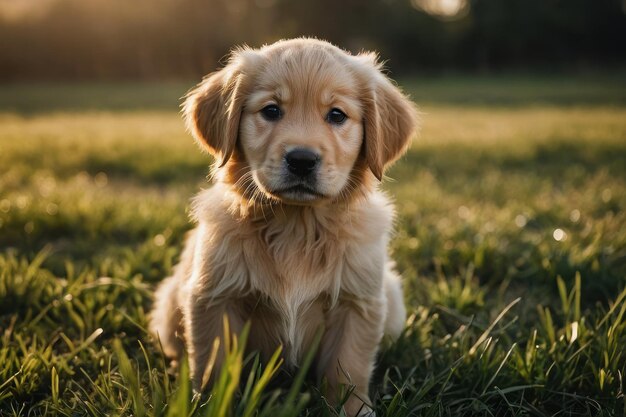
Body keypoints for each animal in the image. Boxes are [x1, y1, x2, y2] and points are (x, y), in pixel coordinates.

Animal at [149, 37, 416, 414]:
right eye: (272, 111)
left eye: (337, 115)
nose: (302, 160)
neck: (296, 225)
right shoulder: (214, 298)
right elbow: (214, 366)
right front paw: (211, 405)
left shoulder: (357, 303)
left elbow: (347, 369)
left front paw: (353, 409)